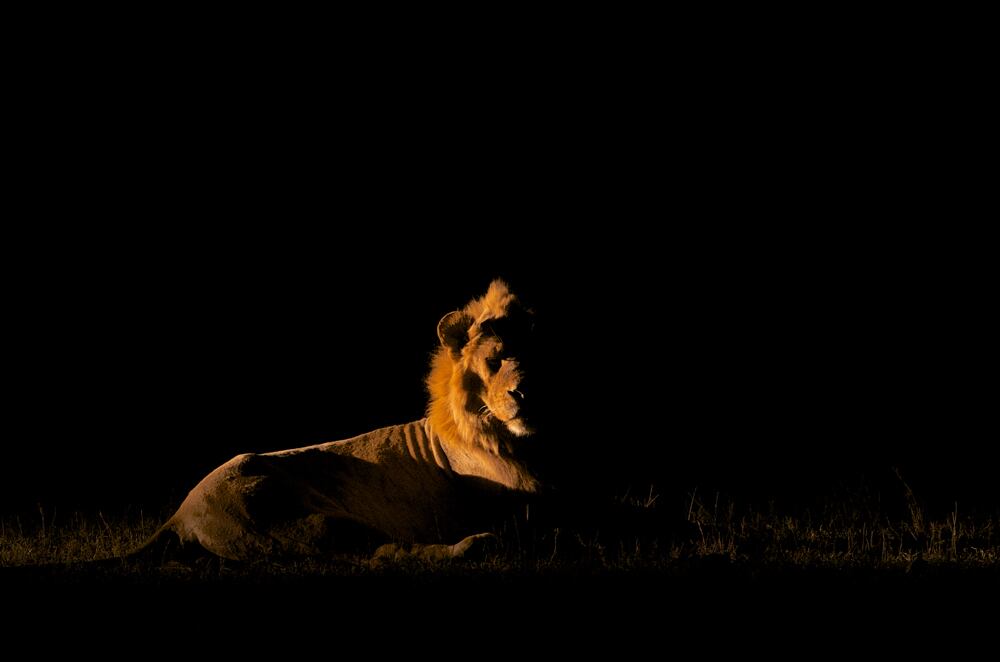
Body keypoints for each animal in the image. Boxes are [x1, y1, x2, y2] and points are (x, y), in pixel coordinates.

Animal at [143, 279, 541, 561]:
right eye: (494, 361)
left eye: (535, 356)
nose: (525, 393)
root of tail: (177, 516)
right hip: (301, 520)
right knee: (381, 554)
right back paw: (475, 544)